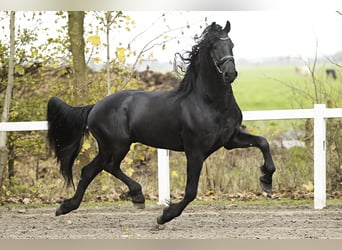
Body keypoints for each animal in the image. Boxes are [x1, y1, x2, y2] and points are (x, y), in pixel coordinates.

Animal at [47, 22, 276, 225]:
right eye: (213, 46)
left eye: (232, 44)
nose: (231, 73)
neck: (209, 103)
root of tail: (94, 107)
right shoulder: (195, 151)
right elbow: (191, 191)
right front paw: (165, 216)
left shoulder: (230, 139)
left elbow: (263, 142)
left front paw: (266, 180)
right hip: (117, 145)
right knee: (108, 166)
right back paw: (137, 196)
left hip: (109, 147)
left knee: (90, 170)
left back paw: (66, 207)